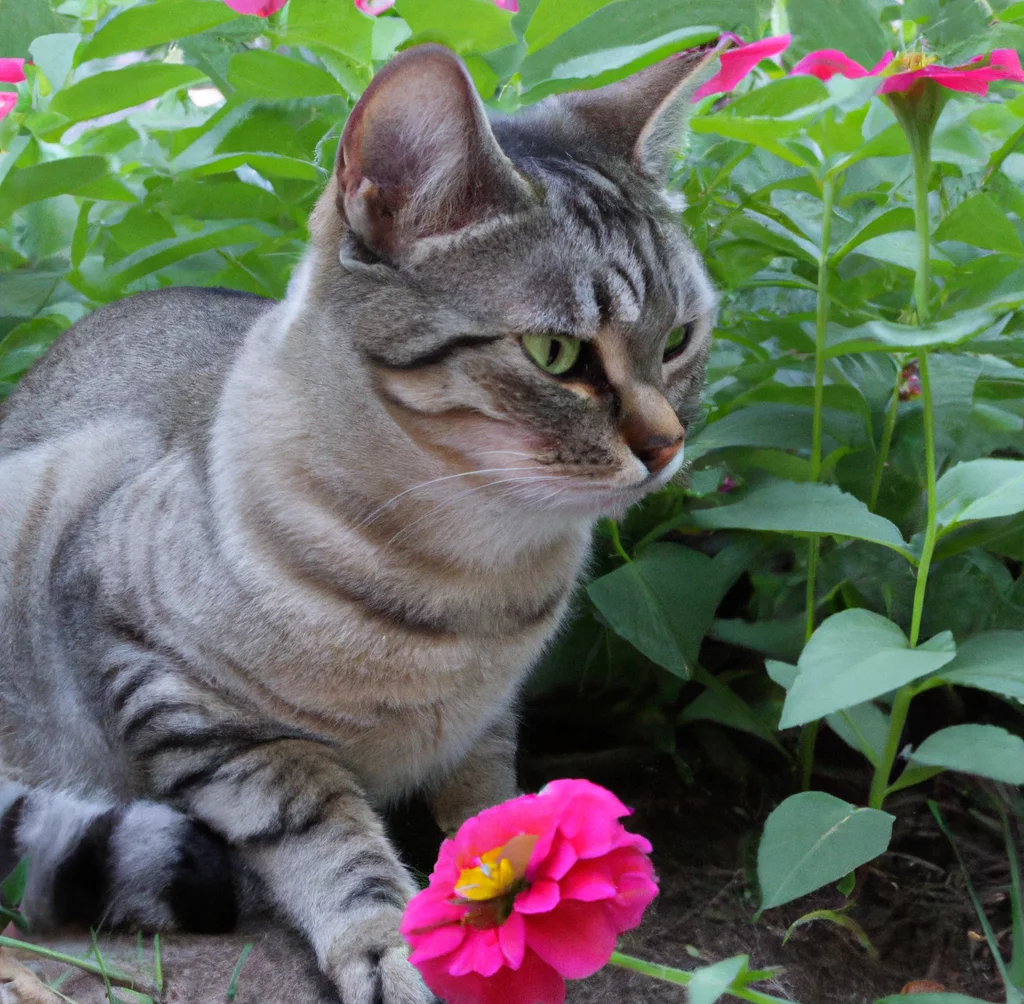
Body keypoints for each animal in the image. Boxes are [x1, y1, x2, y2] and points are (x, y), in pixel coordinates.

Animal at [0, 41, 720, 1003]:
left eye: (678, 340)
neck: (474, 579)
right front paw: (389, 944)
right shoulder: (181, 695)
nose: (667, 445)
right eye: (556, 355)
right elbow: (327, 835)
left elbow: (492, 812)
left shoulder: (487, 722)